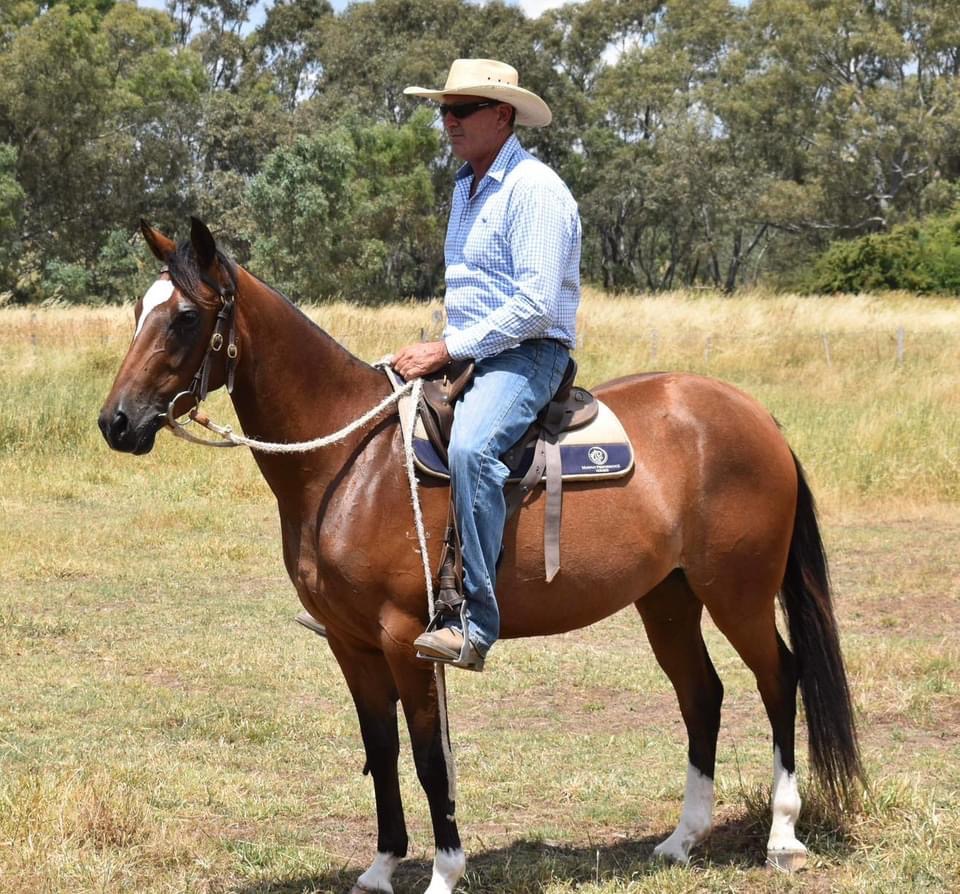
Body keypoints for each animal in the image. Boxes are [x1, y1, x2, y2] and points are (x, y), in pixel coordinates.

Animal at [99, 218, 862, 893]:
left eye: (185, 318)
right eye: (139, 311)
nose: (116, 423)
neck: (352, 462)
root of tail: (756, 417)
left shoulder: (406, 639)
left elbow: (430, 759)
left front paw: (444, 871)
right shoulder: (350, 644)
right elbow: (381, 751)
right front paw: (380, 868)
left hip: (738, 590)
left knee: (779, 679)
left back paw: (782, 838)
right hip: (668, 597)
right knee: (701, 693)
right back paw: (681, 840)